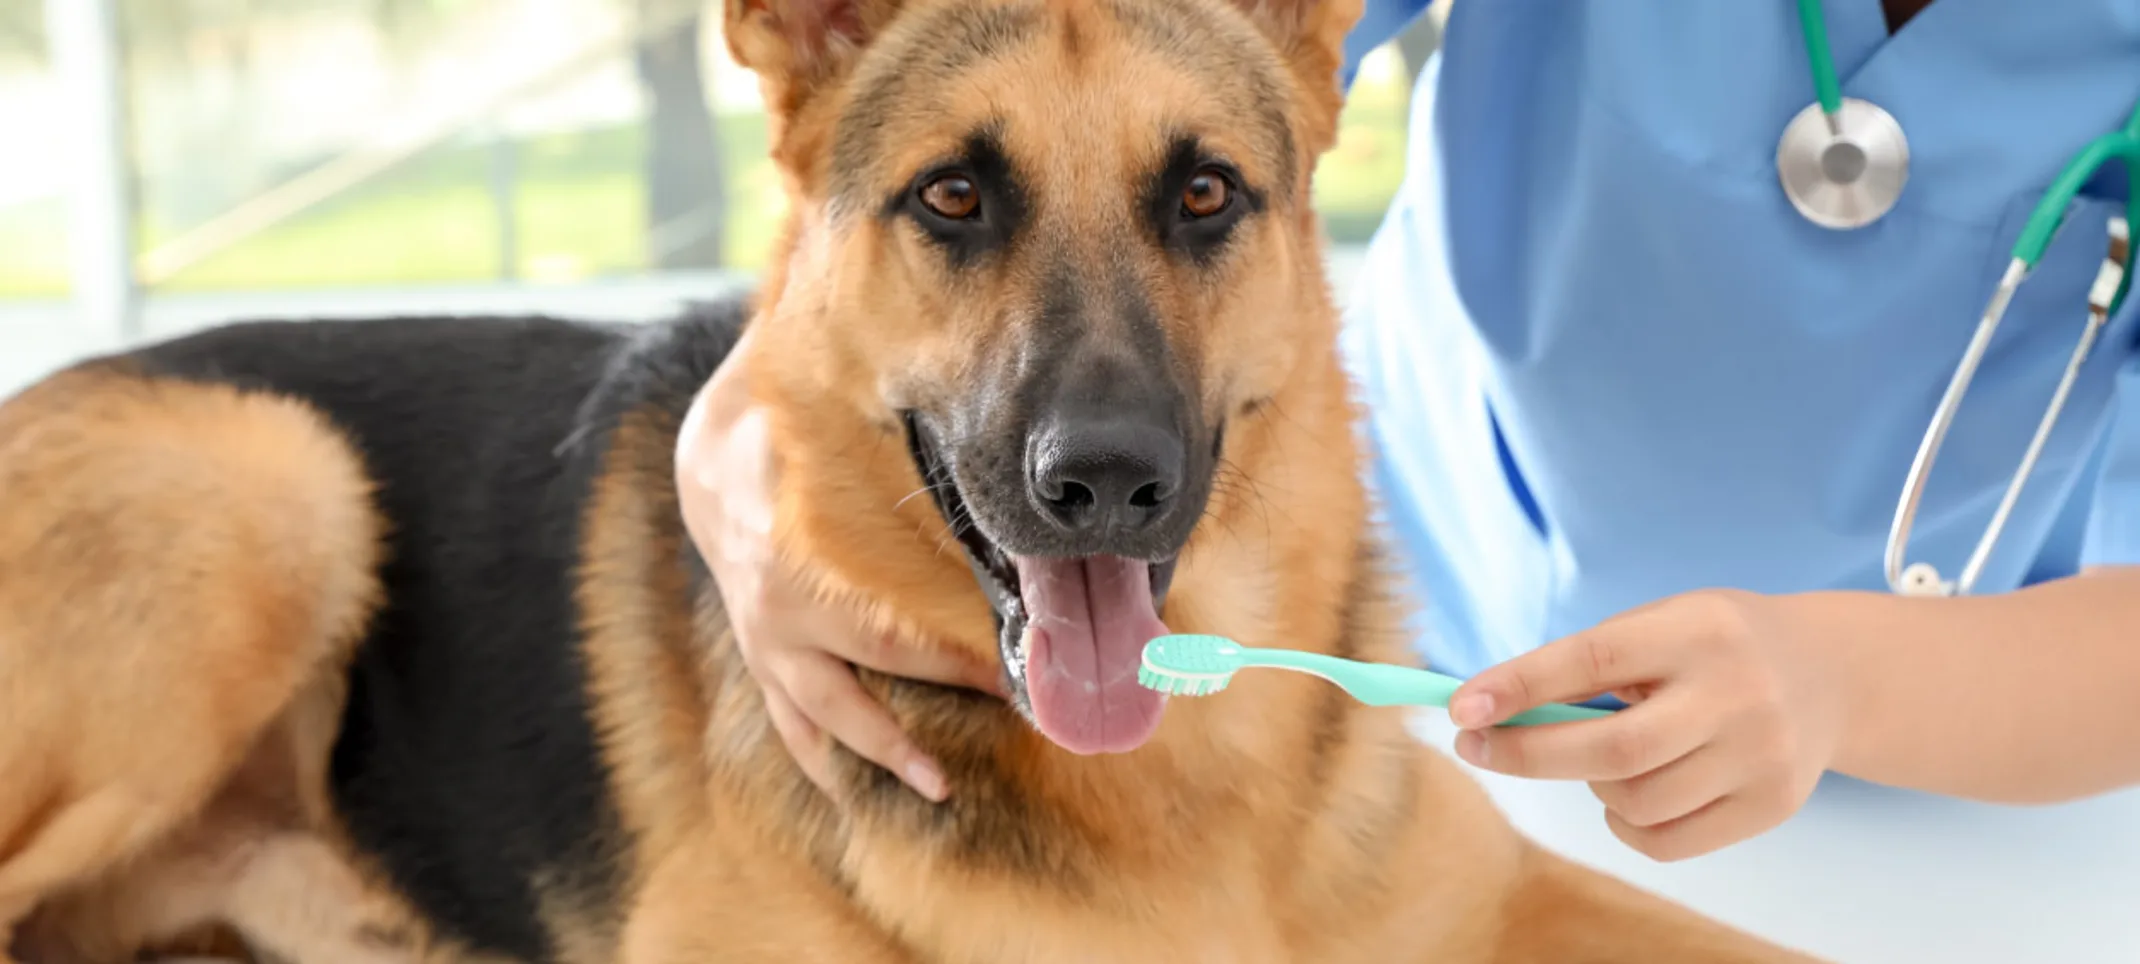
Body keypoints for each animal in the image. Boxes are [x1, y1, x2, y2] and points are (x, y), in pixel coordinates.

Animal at [8, 0, 1823, 959]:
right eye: (954, 196)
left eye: (1206, 193)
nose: (1105, 483)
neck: (1186, 788)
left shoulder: (1510, 890)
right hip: (273, 485)